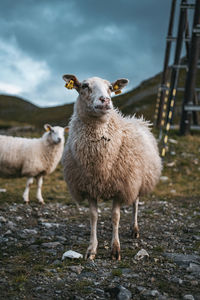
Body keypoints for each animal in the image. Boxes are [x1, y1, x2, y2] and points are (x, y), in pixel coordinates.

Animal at [61, 74, 162, 260]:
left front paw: (115, 249)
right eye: (84, 86)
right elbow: (93, 216)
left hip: (137, 180)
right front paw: (92, 249)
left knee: (135, 204)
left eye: (110, 87)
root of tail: (137, 119)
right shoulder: (89, 187)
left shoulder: (121, 186)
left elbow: (115, 217)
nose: (105, 100)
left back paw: (134, 229)